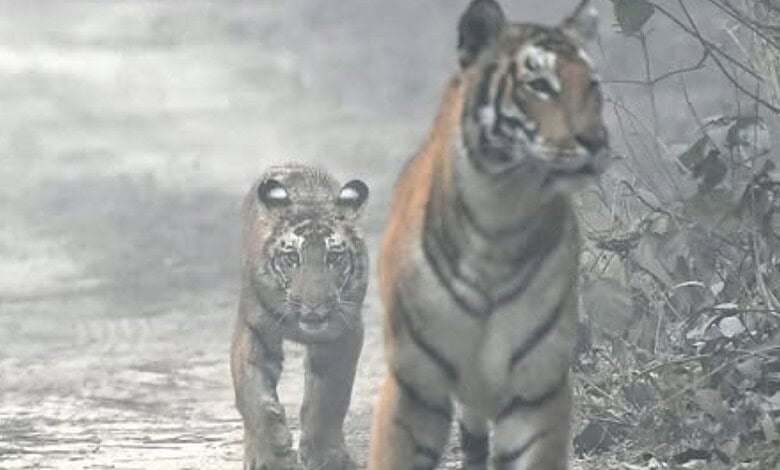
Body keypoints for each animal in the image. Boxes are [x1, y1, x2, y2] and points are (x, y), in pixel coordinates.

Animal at [231, 164, 369, 470]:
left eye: (334, 258)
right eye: (292, 258)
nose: (313, 305)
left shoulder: (342, 333)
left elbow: (329, 397)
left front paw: (325, 455)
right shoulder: (254, 329)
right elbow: (252, 395)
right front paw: (269, 457)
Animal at [367, 1, 608, 469]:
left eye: (592, 86)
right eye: (540, 86)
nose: (595, 140)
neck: (502, 214)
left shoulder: (536, 389)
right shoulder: (414, 386)